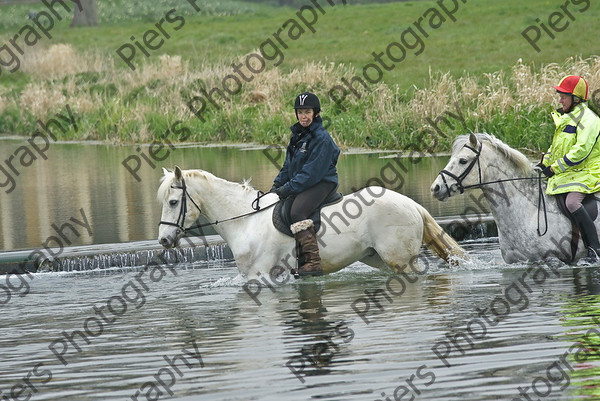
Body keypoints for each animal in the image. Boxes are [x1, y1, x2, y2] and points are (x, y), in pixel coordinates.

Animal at [158, 167, 464, 276]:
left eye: (172, 202)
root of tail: (412, 204)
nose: (163, 240)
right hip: (378, 258)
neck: (245, 221)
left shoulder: (259, 276)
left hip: (399, 259)